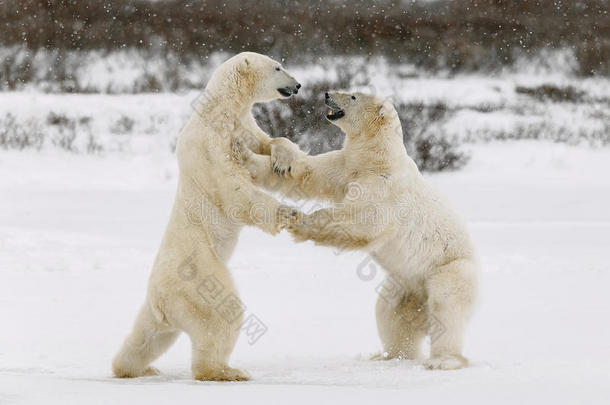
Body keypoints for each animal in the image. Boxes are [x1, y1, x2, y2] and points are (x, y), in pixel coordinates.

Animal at [112, 52, 302, 380]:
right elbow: (234, 191)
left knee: (148, 336)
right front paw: (287, 211)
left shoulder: (244, 125)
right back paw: (225, 371)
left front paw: (282, 160)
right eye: (277, 67)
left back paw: (135, 368)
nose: (298, 84)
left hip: (158, 309)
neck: (221, 110)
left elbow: (266, 148)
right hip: (200, 279)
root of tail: (162, 300)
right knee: (221, 316)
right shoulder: (211, 144)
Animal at [235, 91, 478, 370]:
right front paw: (244, 151)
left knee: (446, 309)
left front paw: (300, 221)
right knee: (390, 313)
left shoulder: (384, 185)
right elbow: (307, 174)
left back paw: (444, 360)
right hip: (403, 284)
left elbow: (362, 219)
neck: (377, 157)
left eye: (352, 96)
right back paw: (388, 355)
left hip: (448, 269)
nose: (327, 94)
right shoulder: (346, 166)